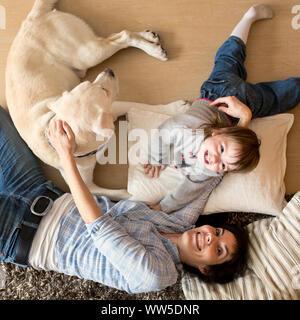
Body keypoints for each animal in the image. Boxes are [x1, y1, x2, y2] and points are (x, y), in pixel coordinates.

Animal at [5, 0, 184, 200]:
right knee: (117, 36)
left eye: (91, 85)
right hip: (88, 52)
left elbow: (145, 105)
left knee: (123, 36)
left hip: (87, 54)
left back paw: (153, 49)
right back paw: (149, 39)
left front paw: (175, 108)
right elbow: (121, 194)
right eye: (102, 90)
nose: (109, 71)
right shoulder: (88, 187)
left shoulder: (114, 106)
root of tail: (30, 19)